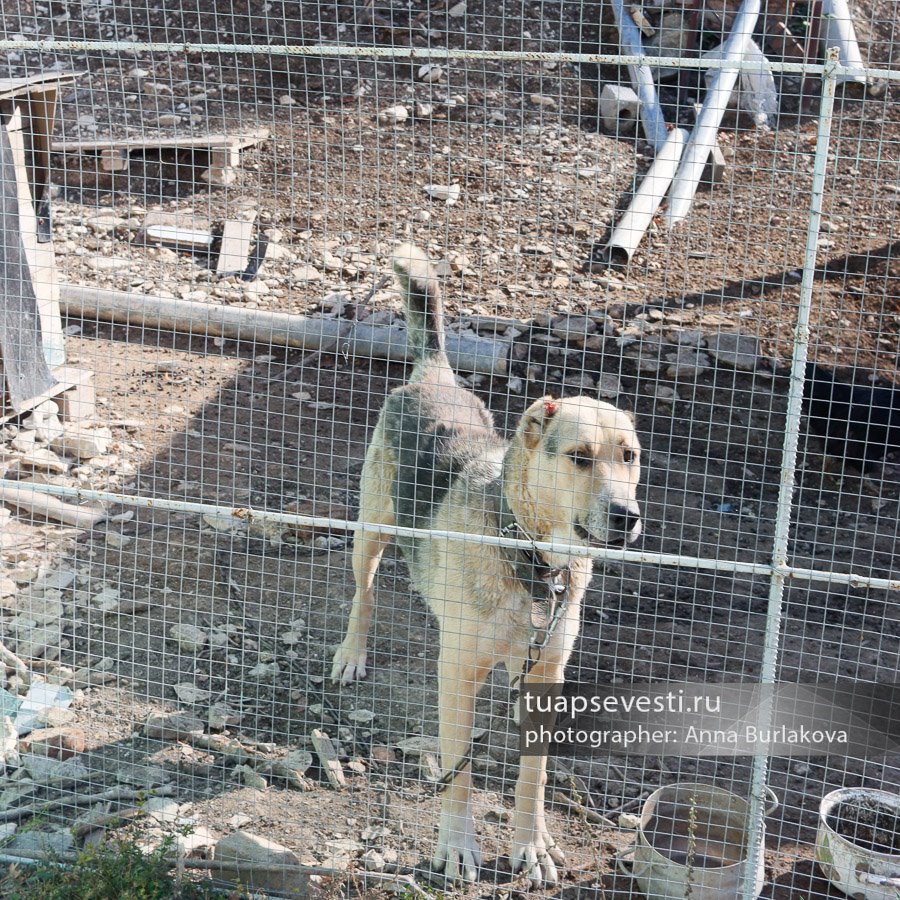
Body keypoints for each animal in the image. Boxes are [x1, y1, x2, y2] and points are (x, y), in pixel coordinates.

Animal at [334, 246, 644, 884]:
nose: (627, 516)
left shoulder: (547, 674)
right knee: (365, 591)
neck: (532, 559)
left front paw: (533, 845)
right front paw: (457, 846)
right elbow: (460, 775)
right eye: (580, 458)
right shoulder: (456, 675)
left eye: (629, 456)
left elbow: (534, 776)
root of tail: (434, 375)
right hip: (370, 530)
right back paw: (352, 652)